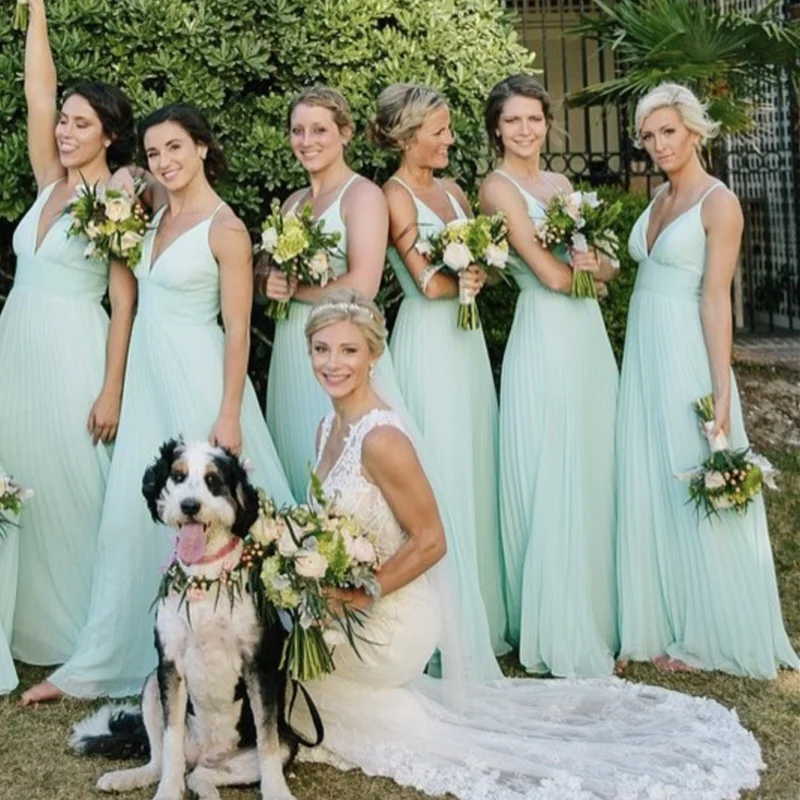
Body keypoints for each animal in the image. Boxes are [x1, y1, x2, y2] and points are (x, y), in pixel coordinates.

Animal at [69, 440, 310, 796]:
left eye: (213, 480)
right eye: (178, 476)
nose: (190, 506)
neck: (203, 581)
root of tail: (205, 754)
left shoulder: (259, 666)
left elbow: (266, 743)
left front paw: (278, 794)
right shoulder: (169, 665)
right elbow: (171, 742)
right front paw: (167, 794)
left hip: (283, 743)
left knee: (203, 775)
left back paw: (208, 791)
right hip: (151, 686)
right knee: (165, 763)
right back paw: (129, 777)